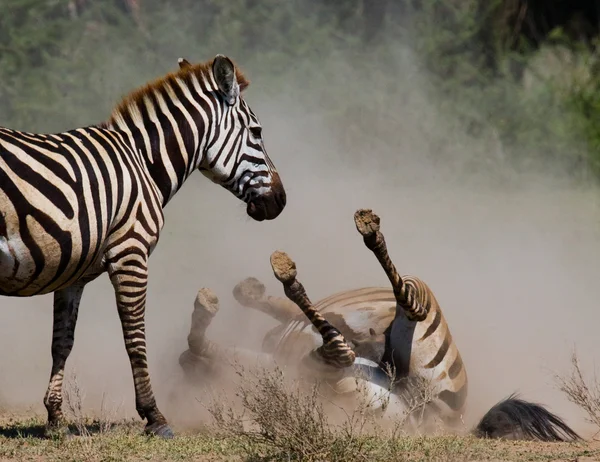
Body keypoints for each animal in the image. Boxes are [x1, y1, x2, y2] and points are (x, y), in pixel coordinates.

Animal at [0, 52, 286, 438]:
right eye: (257, 132)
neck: (143, 163)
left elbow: (62, 342)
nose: (280, 201)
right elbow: (135, 337)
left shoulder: (73, 272)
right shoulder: (130, 252)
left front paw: (55, 419)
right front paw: (155, 416)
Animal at [178, 208, 580, 440]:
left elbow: (263, 303)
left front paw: (253, 290)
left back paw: (361, 236)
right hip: (320, 378)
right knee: (338, 352)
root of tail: (445, 424)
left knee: (407, 305)